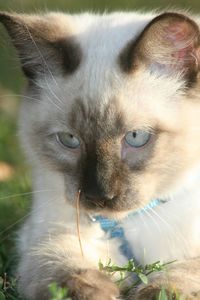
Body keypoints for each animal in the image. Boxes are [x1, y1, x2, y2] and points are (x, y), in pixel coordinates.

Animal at [0, 9, 200, 300]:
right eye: (70, 140)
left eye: (135, 137)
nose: (99, 197)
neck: (125, 224)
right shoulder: (51, 233)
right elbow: (61, 265)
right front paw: (96, 292)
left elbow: (183, 274)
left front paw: (156, 292)